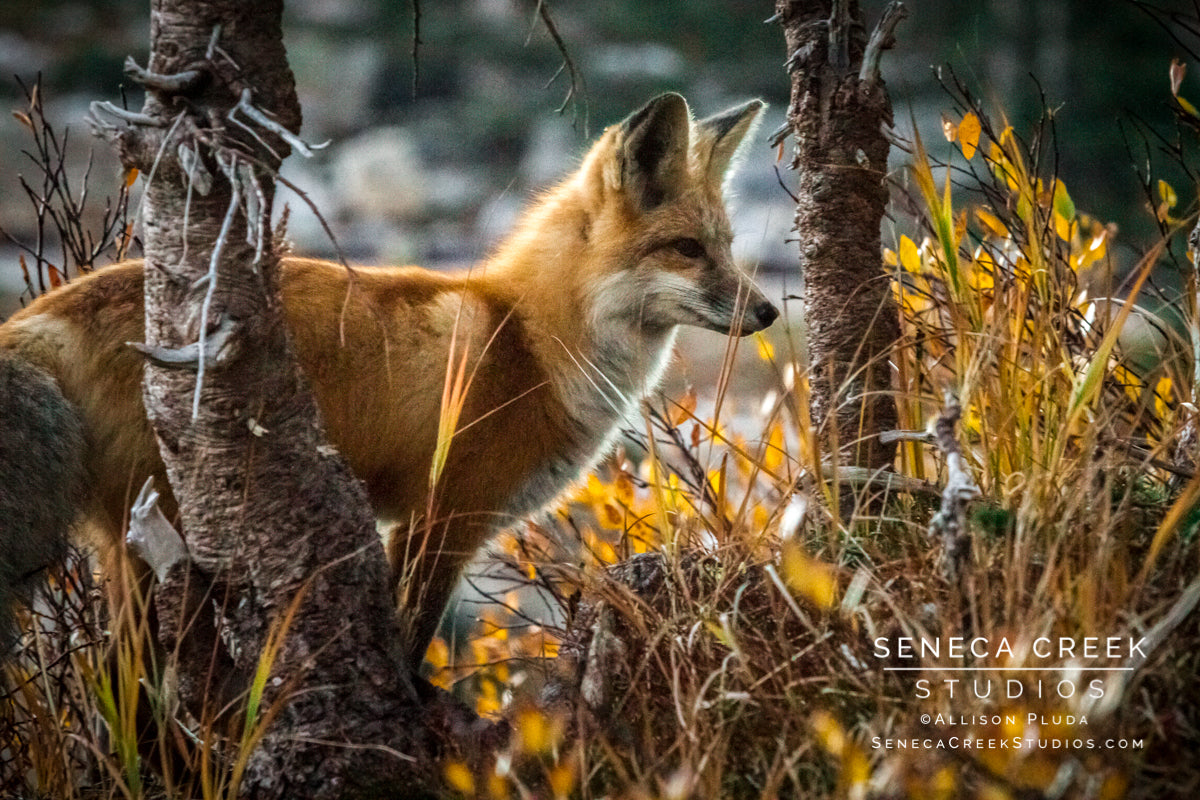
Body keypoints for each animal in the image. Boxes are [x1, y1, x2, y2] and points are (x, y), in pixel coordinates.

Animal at [0, 92, 778, 663]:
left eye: (726, 247)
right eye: (686, 250)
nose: (769, 311)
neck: (530, 340)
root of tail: (41, 315)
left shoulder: (429, 522)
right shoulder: (443, 518)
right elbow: (414, 642)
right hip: (155, 536)